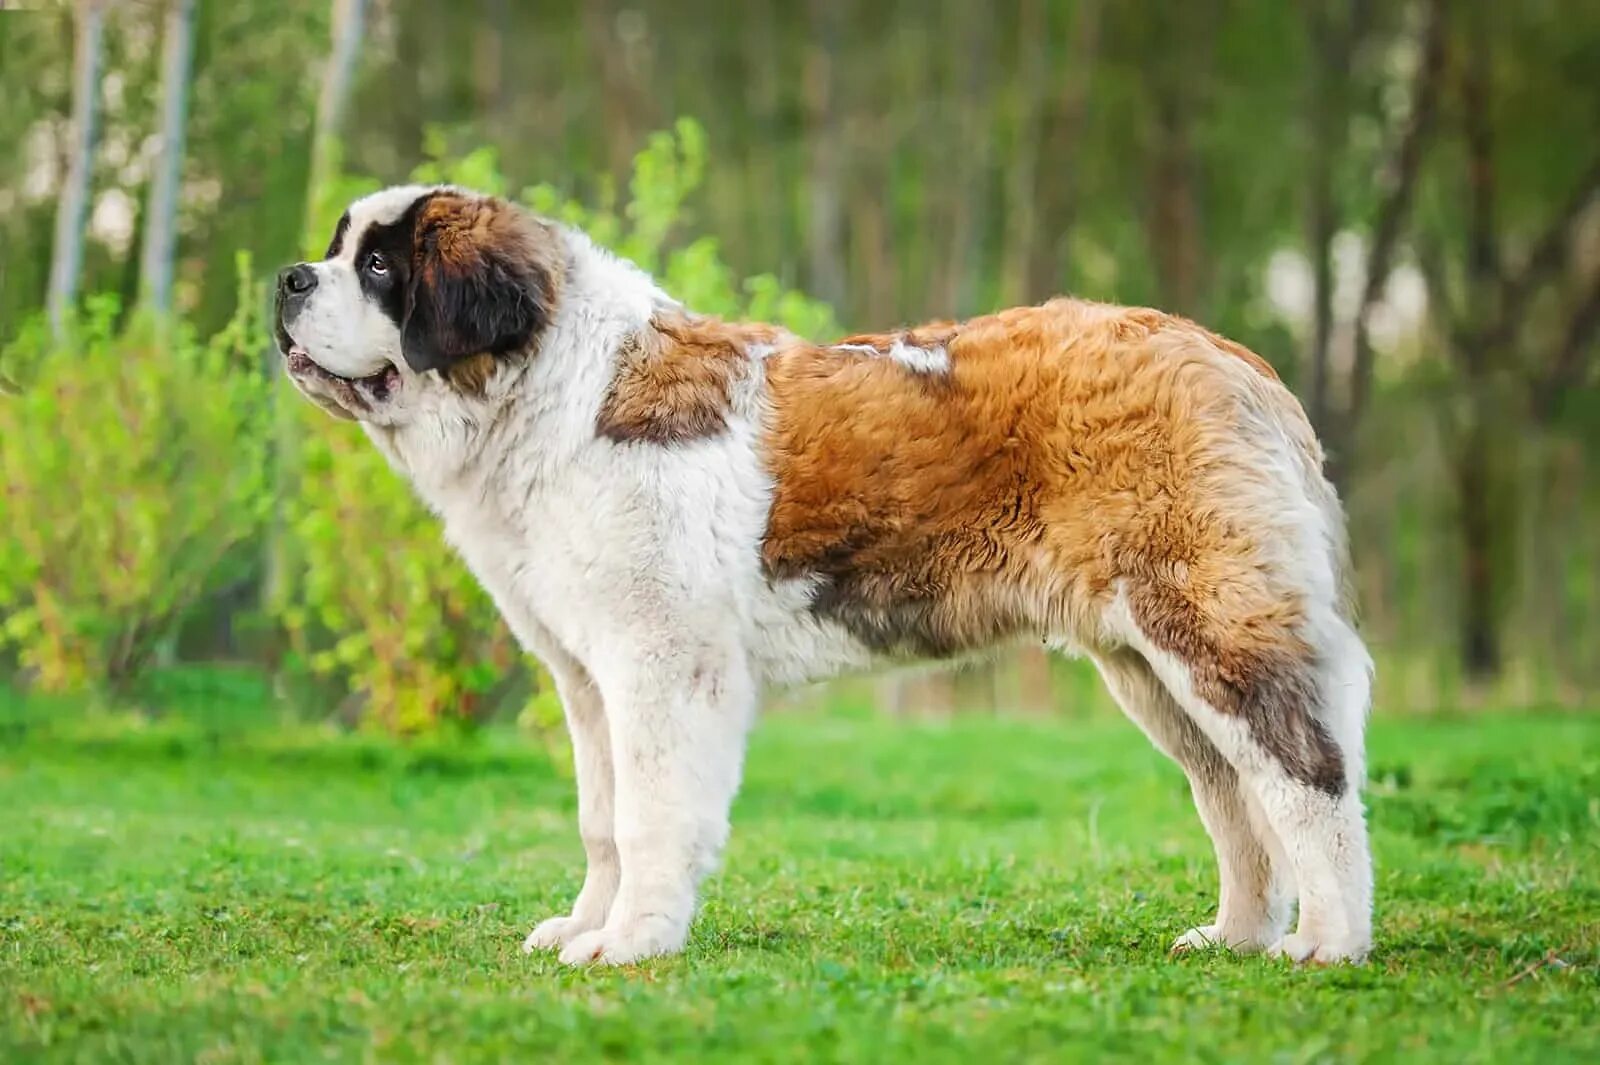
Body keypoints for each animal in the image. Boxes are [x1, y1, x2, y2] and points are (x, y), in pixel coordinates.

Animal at [275, 186, 1376, 965]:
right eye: (334, 251)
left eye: (378, 265)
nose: (288, 278)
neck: (553, 391)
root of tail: (1225, 354)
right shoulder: (587, 677)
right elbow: (601, 818)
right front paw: (586, 925)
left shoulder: (660, 663)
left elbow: (649, 811)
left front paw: (630, 943)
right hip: (1148, 666)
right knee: (1233, 794)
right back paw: (1236, 936)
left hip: (1210, 631)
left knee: (1305, 778)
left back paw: (1328, 943)